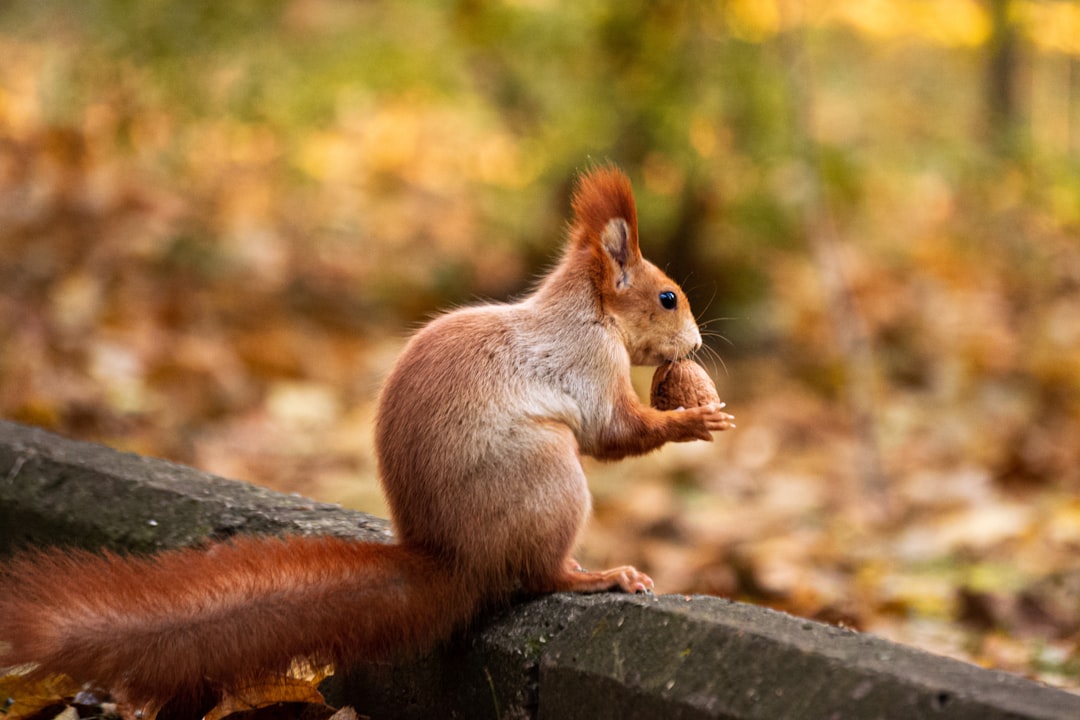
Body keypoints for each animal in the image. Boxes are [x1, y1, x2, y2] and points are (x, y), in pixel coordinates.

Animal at [0, 165, 733, 715]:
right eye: (668, 298)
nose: (698, 343)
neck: (588, 311)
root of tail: (453, 561)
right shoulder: (587, 365)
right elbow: (613, 432)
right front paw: (694, 422)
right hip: (547, 478)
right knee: (537, 575)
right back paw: (598, 576)